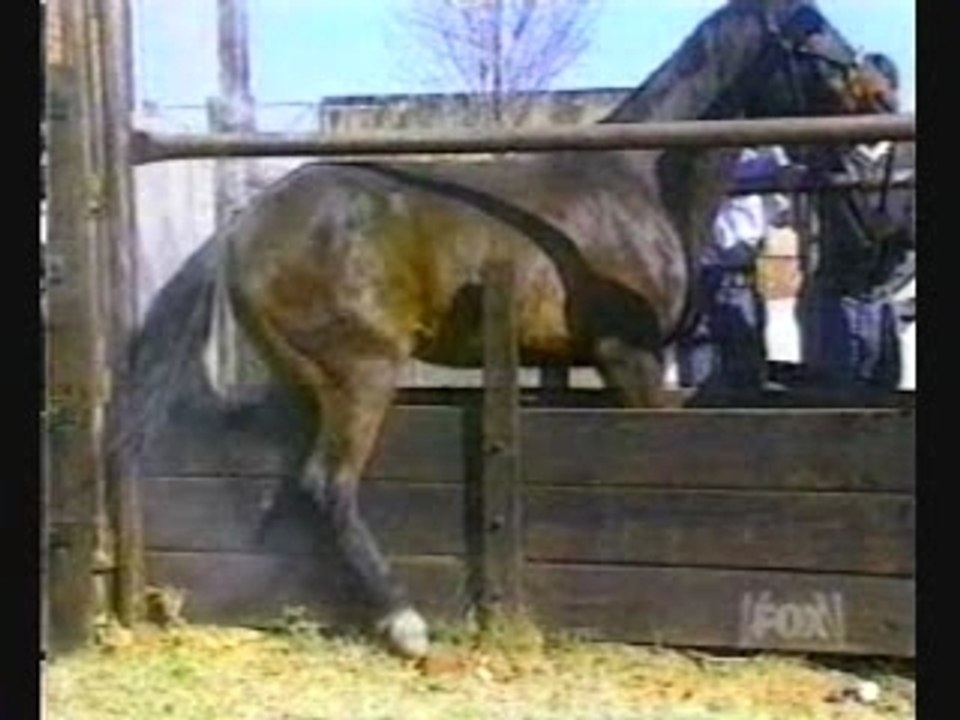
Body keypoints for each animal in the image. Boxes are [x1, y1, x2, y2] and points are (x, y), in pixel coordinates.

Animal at [123, 0, 897, 658]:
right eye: (814, 34)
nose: (881, 97)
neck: (636, 188)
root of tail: (245, 224)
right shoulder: (631, 357)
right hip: (362, 375)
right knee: (328, 485)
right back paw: (405, 625)